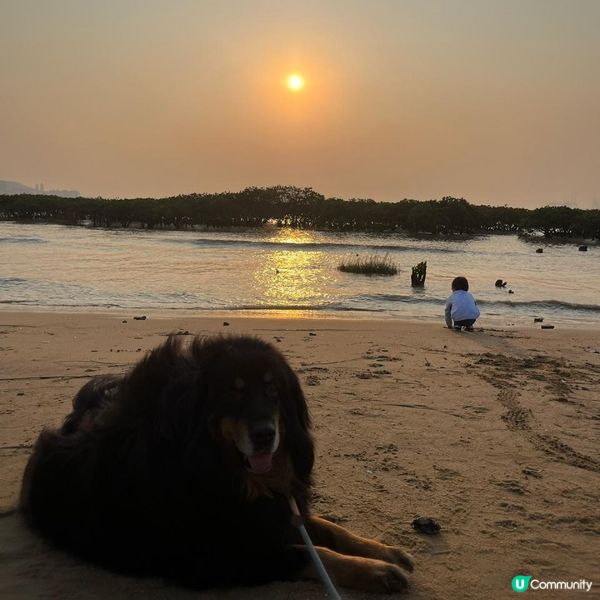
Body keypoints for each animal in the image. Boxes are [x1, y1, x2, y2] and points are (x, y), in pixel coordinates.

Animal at [18, 336, 412, 592]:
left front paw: (383, 551)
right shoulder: (217, 555)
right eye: (233, 393)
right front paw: (377, 572)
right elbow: (308, 553)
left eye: (273, 390)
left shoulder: (272, 513)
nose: (265, 435)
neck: (216, 467)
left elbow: (330, 530)